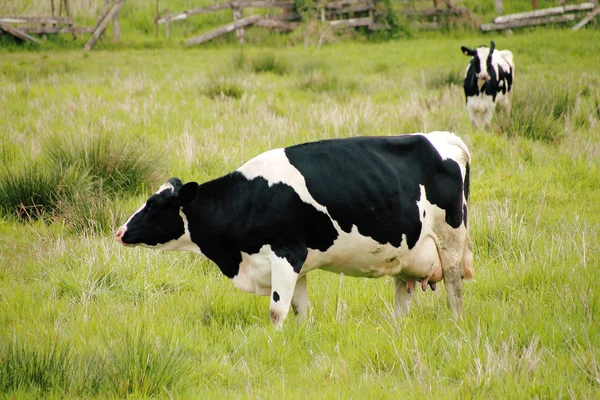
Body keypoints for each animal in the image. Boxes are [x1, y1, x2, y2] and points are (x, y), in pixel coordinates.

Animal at [116, 131, 474, 328]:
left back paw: (457, 324)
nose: (119, 232)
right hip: (407, 252)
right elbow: (301, 311)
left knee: (455, 288)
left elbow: (277, 311)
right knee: (403, 294)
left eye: (153, 205)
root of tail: (442, 138)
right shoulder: (296, 263)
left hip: (451, 239)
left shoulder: (287, 254)